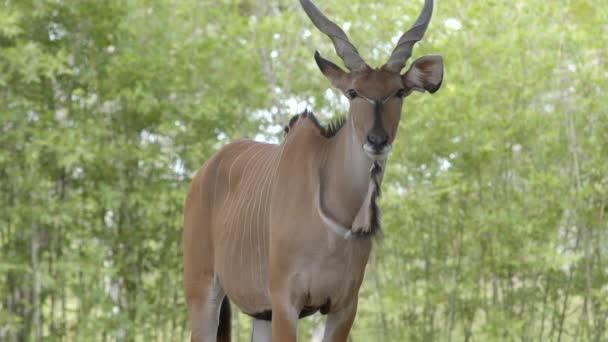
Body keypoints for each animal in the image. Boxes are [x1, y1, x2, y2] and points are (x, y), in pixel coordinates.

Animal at [183, 0, 444, 340]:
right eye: (353, 92)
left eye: (399, 92)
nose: (377, 140)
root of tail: (202, 174)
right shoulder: (285, 302)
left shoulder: (343, 307)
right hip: (202, 291)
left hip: (259, 314)